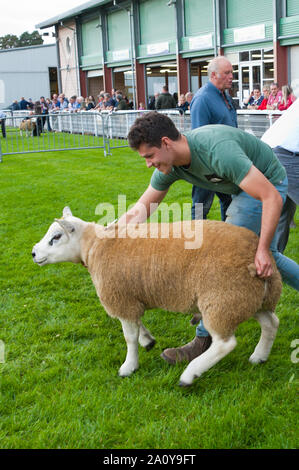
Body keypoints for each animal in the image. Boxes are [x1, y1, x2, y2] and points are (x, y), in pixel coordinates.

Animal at [32, 207, 284, 388]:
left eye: (56, 237)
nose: (34, 253)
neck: (94, 247)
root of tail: (257, 253)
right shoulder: (131, 297)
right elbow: (137, 325)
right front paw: (147, 340)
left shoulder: (120, 297)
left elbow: (129, 337)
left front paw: (129, 366)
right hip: (251, 298)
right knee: (271, 323)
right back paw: (259, 356)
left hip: (223, 298)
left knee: (225, 343)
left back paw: (189, 375)